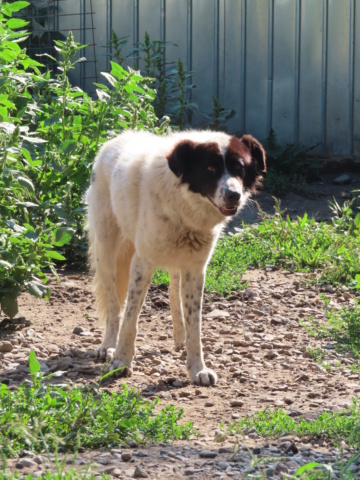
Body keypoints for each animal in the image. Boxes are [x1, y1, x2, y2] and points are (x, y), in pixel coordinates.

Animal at [86, 130, 266, 386]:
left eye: (239, 167)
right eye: (210, 168)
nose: (234, 195)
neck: (185, 204)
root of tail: (117, 138)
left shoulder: (195, 269)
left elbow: (195, 327)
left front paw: (198, 369)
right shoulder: (142, 264)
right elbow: (130, 319)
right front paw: (121, 362)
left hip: (176, 259)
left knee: (173, 291)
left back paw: (179, 337)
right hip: (106, 255)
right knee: (113, 307)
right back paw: (108, 346)